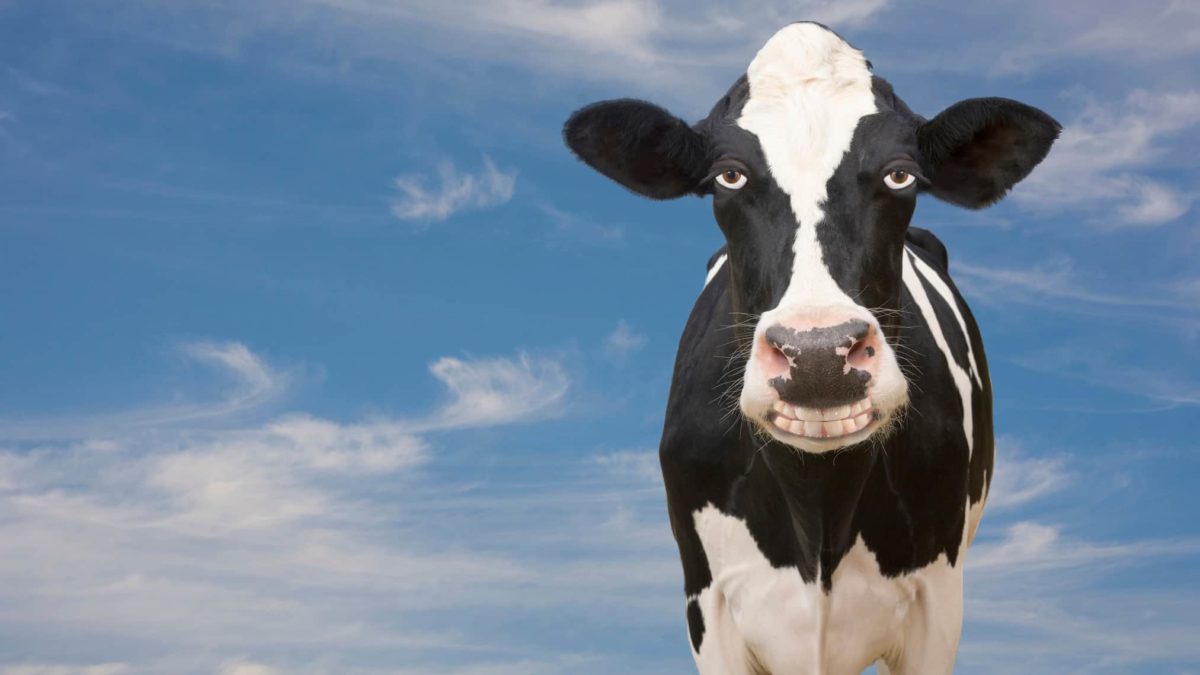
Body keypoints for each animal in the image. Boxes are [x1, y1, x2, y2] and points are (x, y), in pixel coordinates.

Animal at [562, 22, 1060, 675]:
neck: (818, 504)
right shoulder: (708, 604)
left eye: (900, 175)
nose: (819, 356)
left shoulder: (939, 600)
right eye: (728, 176)